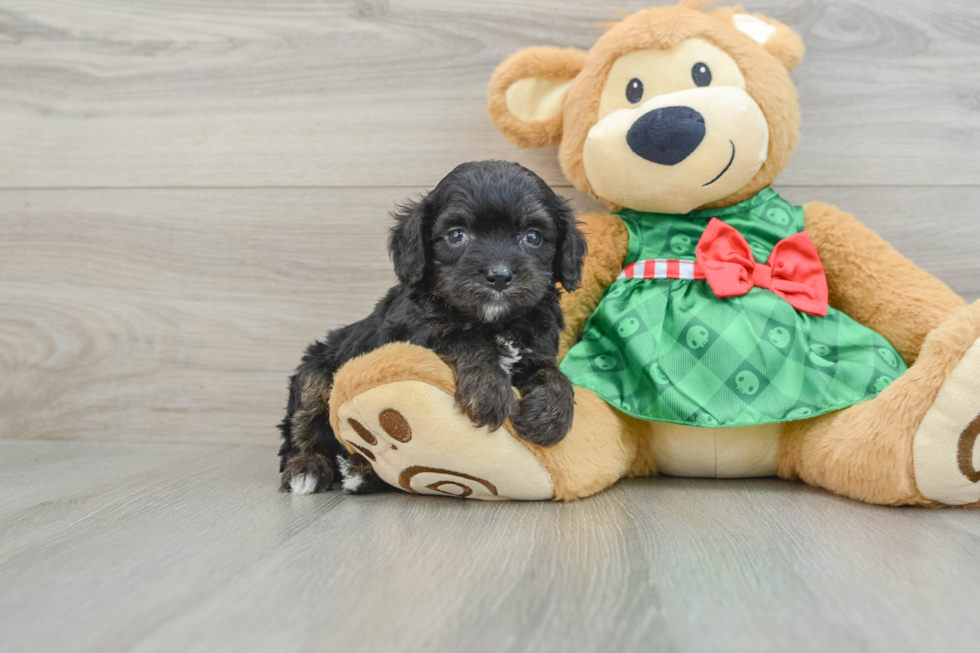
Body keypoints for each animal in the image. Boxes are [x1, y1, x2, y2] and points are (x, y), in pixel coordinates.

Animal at [278, 162, 580, 494]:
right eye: (457, 235)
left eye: (533, 236)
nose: (499, 276)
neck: (494, 321)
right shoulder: (414, 334)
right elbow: (465, 340)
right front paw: (488, 390)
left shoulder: (538, 348)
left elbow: (553, 374)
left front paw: (550, 415)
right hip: (314, 372)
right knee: (301, 428)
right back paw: (309, 468)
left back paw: (360, 471)